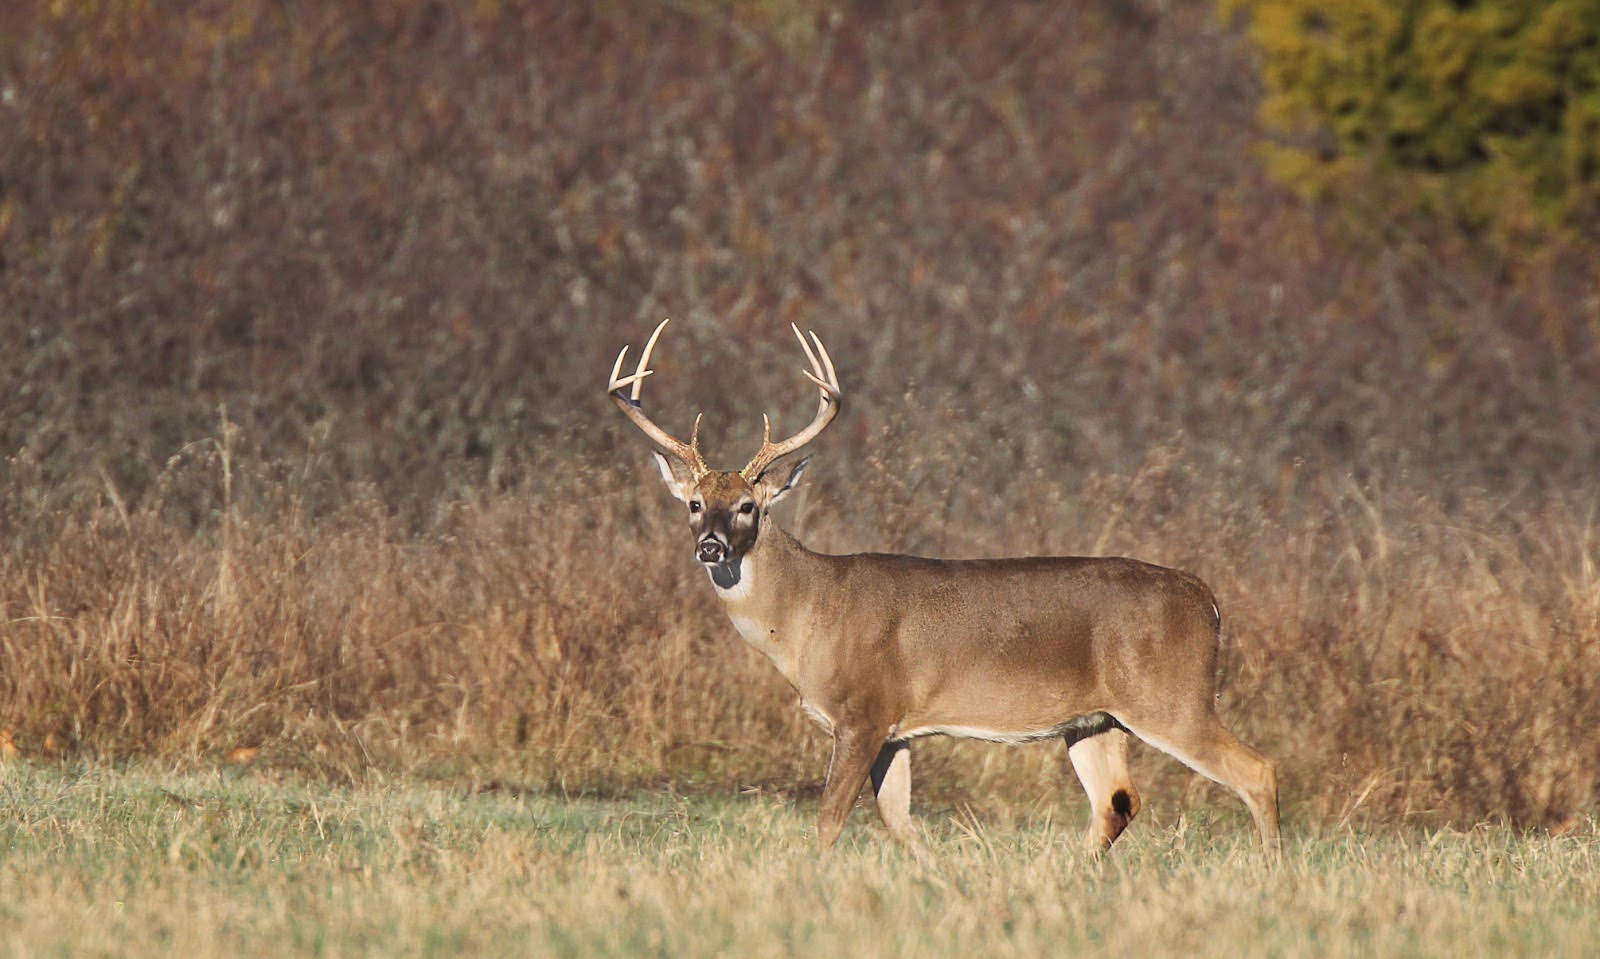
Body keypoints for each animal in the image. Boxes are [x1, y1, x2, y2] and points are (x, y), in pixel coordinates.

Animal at [607, 319, 1279, 861]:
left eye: (749, 506)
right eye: (695, 504)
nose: (711, 546)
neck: (807, 612)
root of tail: (1208, 600)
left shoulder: (865, 710)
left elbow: (830, 818)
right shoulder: (898, 730)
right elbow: (896, 819)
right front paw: (936, 876)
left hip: (1170, 697)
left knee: (1257, 770)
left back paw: (1271, 874)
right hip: (1095, 720)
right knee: (1117, 800)